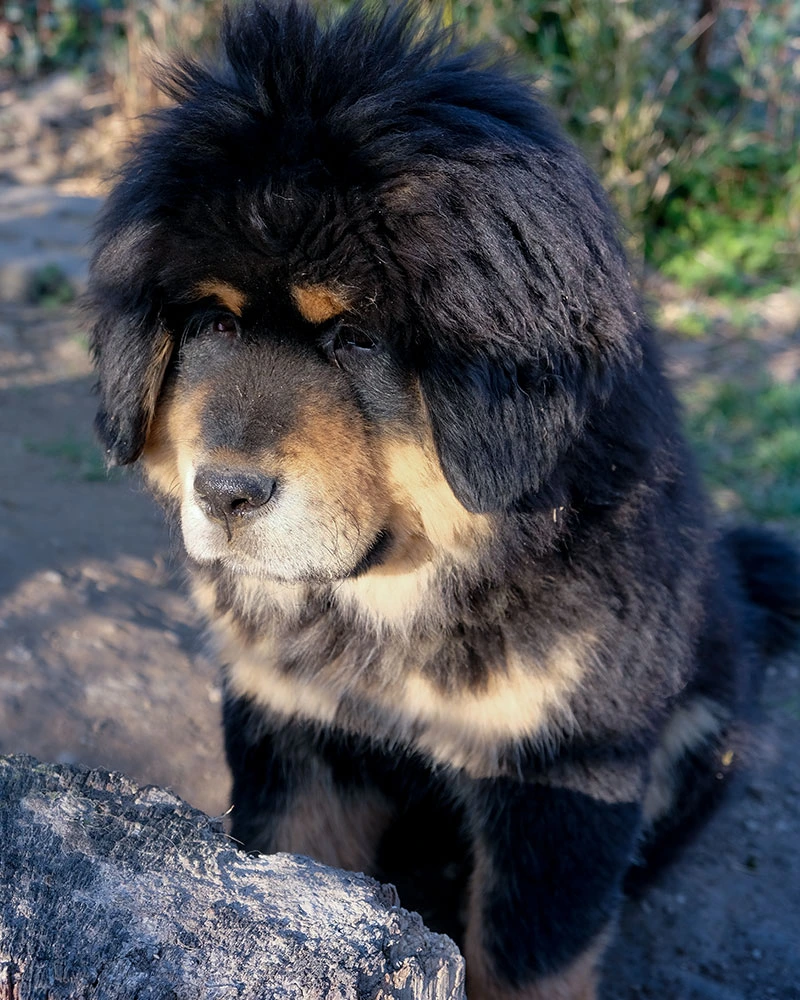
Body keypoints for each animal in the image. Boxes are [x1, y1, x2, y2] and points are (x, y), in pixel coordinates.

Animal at [84, 3, 796, 996]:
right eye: (212, 323)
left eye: (355, 338)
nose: (223, 492)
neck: (395, 601)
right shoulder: (292, 724)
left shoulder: (565, 773)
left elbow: (529, 960)